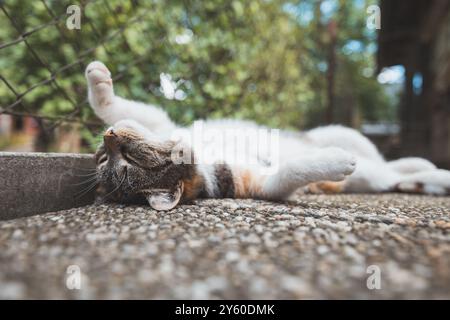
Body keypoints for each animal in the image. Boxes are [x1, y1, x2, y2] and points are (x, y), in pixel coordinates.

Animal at [85, 60, 450, 210]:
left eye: (115, 155)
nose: (108, 137)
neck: (202, 154)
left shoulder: (165, 123)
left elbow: (121, 109)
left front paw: (98, 81)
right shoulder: (255, 184)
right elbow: (287, 174)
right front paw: (332, 162)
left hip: (344, 132)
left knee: (388, 160)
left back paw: (418, 164)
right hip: (371, 178)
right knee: (391, 176)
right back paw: (433, 177)